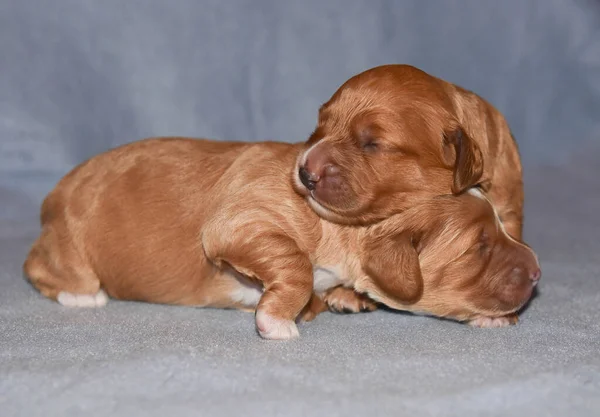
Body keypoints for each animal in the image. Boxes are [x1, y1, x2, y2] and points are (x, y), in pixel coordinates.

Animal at [23, 137, 540, 338]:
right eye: (479, 247)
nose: (537, 273)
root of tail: (52, 194)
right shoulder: (238, 222)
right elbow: (295, 264)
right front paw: (278, 320)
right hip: (69, 243)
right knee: (38, 266)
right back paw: (80, 295)